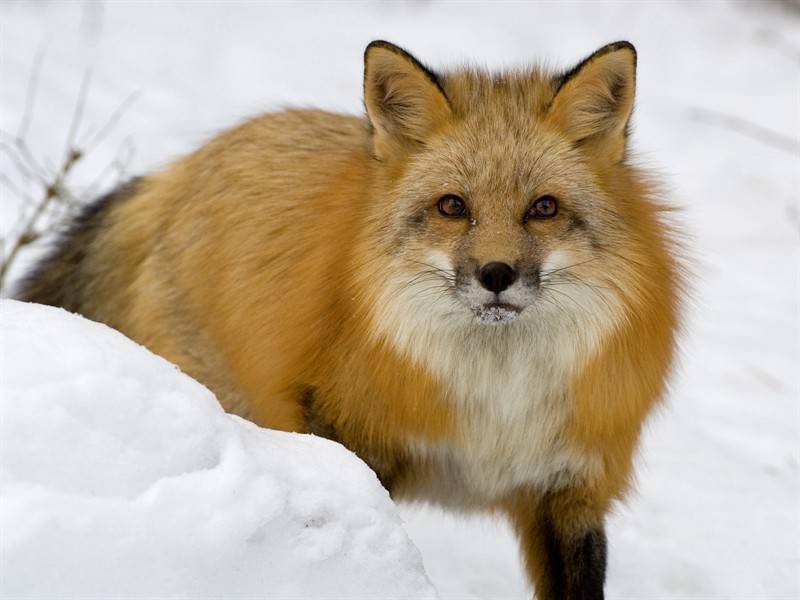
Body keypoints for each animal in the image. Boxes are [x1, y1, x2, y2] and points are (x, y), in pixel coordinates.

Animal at [17, 41, 680, 600]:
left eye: (543, 208)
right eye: (452, 206)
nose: (496, 273)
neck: (496, 402)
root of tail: (185, 166)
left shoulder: (568, 488)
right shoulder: (349, 435)